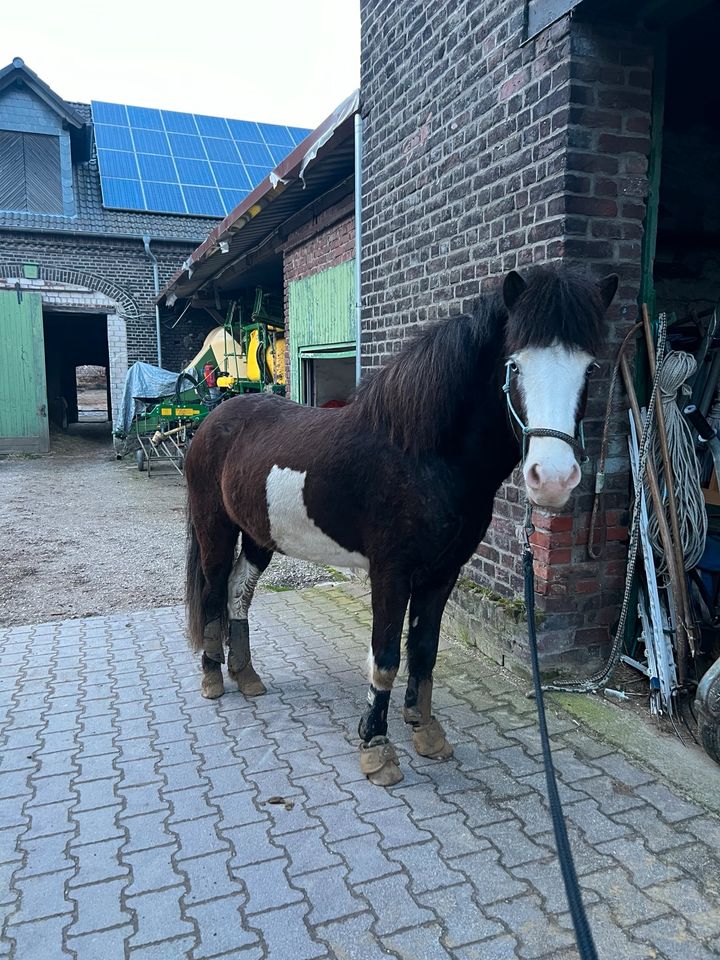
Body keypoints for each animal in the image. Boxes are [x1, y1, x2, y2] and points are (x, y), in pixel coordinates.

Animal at [186, 266, 620, 784]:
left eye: (590, 368)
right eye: (514, 365)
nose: (551, 479)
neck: (420, 454)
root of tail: (213, 421)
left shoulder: (443, 572)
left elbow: (424, 650)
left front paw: (425, 731)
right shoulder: (390, 572)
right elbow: (387, 656)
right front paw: (376, 747)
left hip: (258, 536)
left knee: (239, 592)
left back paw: (246, 675)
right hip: (215, 528)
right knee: (213, 592)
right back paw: (213, 677)